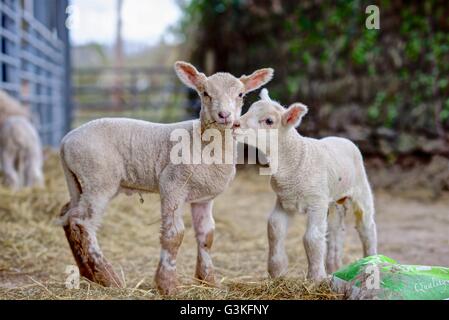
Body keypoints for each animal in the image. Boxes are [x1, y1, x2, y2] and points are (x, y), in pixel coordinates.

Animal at [233, 89, 376, 282]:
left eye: (269, 121)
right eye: (249, 109)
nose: (234, 124)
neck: (296, 158)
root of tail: (343, 138)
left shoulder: (317, 202)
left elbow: (312, 238)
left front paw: (316, 277)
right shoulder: (284, 200)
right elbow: (274, 228)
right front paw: (277, 271)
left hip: (360, 187)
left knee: (366, 226)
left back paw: (371, 262)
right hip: (333, 200)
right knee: (335, 230)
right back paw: (334, 267)